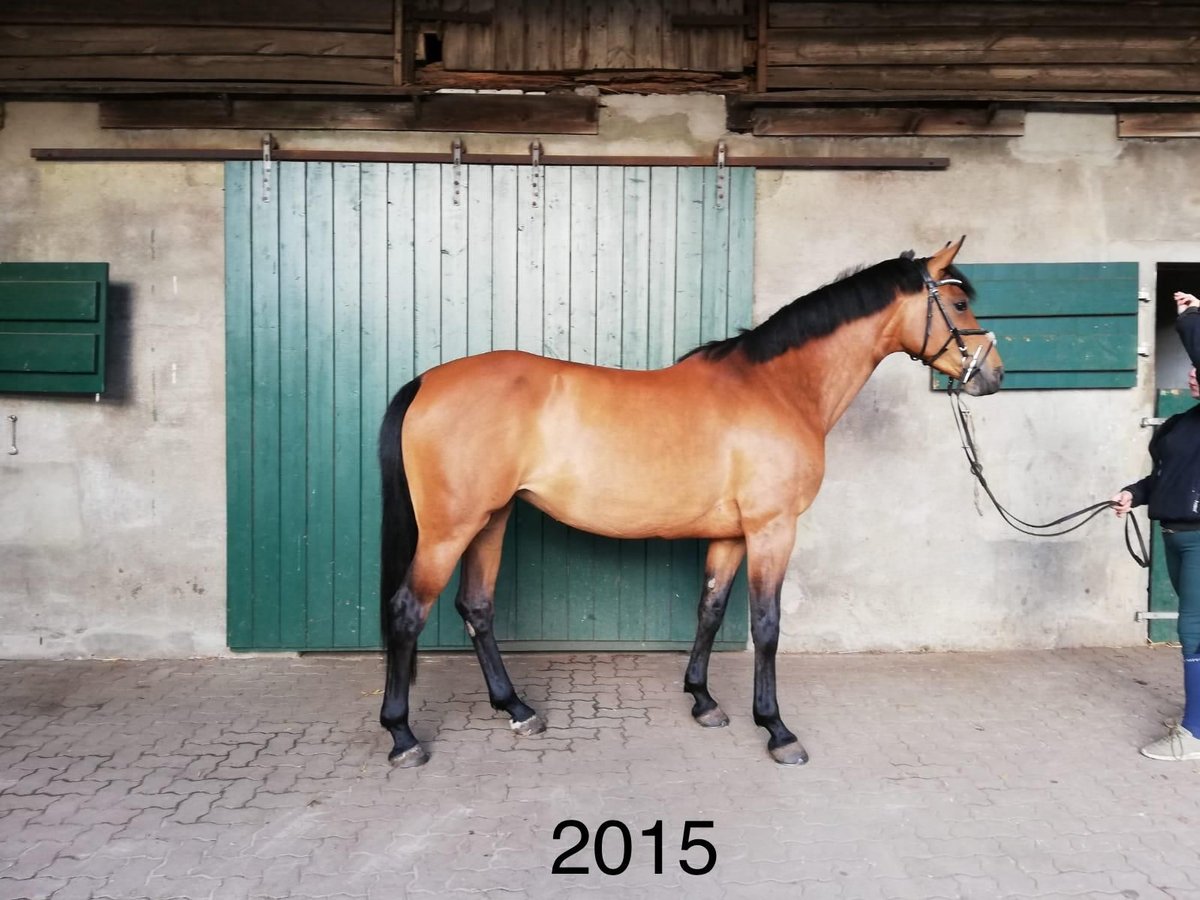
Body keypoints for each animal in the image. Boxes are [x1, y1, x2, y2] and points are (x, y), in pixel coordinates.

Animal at [376, 237, 1003, 768]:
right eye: (959, 302)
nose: (992, 375)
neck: (778, 388)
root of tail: (427, 382)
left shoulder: (729, 535)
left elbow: (711, 608)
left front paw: (703, 701)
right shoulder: (773, 529)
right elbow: (767, 624)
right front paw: (777, 730)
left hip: (491, 519)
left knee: (476, 607)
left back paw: (517, 709)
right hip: (449, 529)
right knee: (408, 610)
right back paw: (403, 737)